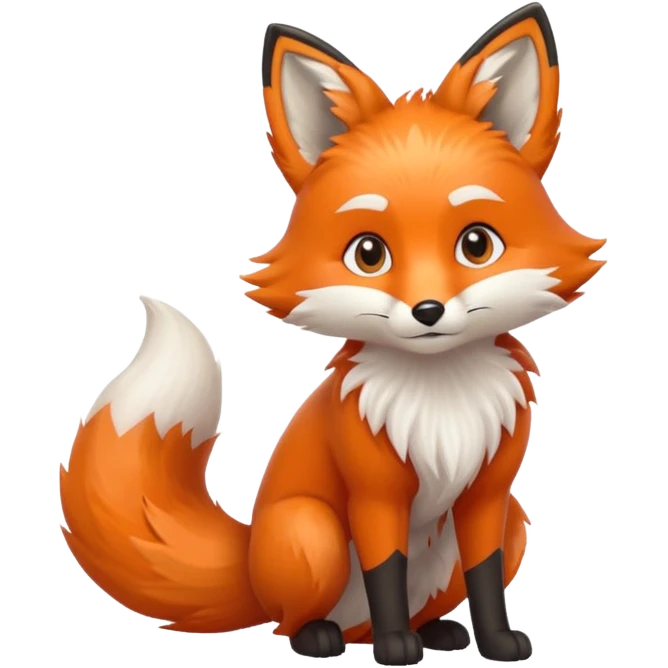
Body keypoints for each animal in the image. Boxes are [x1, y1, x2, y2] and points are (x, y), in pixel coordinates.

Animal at [58, 4, 606, 666]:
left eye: (477, 244)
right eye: (369, 254)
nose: (428, 310)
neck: (441, 399)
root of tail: (247, 565)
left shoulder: (488, 497)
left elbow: (484, 576)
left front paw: (496, 642)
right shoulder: (374, 495)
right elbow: (385, 570)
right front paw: (396, 648)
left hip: (517, 521)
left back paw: (435, 632)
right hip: (310, 531)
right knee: (293, 620)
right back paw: (327, 637)